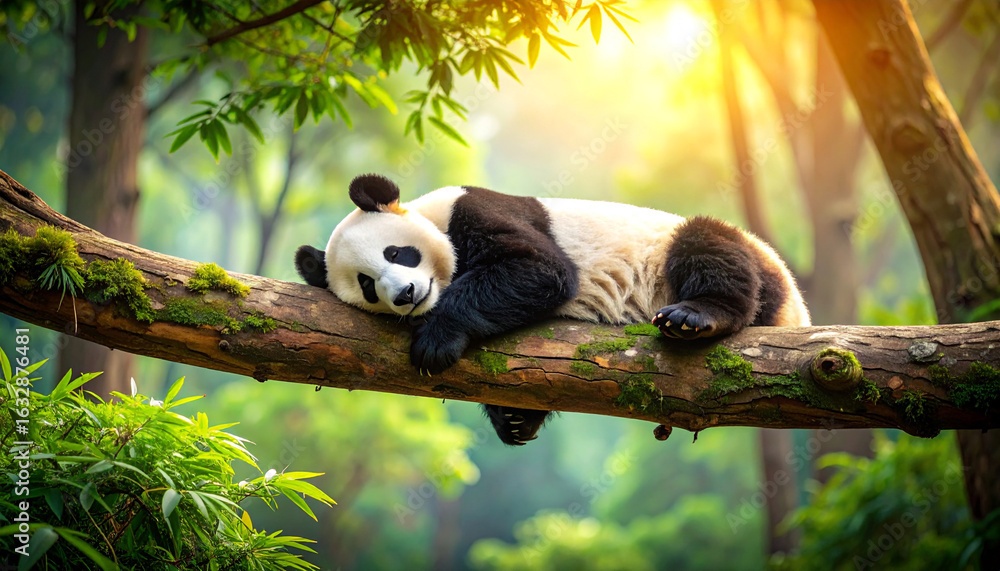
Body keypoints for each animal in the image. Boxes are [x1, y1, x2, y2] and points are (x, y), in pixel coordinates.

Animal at [295, 174, 810, 446]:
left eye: (397, 253)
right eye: (367, 285)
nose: (404, 294)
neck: (430, 212)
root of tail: (796, 308)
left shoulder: (475, 210)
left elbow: (541, 270)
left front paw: (437, 340)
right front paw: (514, 418)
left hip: (707, 255)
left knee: (710, 247)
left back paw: (696, 316)